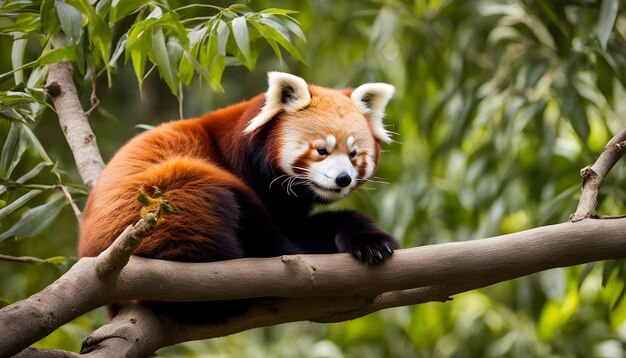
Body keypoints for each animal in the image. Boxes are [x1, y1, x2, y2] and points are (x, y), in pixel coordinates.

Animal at [78, 70, 398, 318]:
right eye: (322, 150)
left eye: (354, 154)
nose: (343, 179)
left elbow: (307, 224)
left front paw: (370, 241)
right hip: (166, 199)